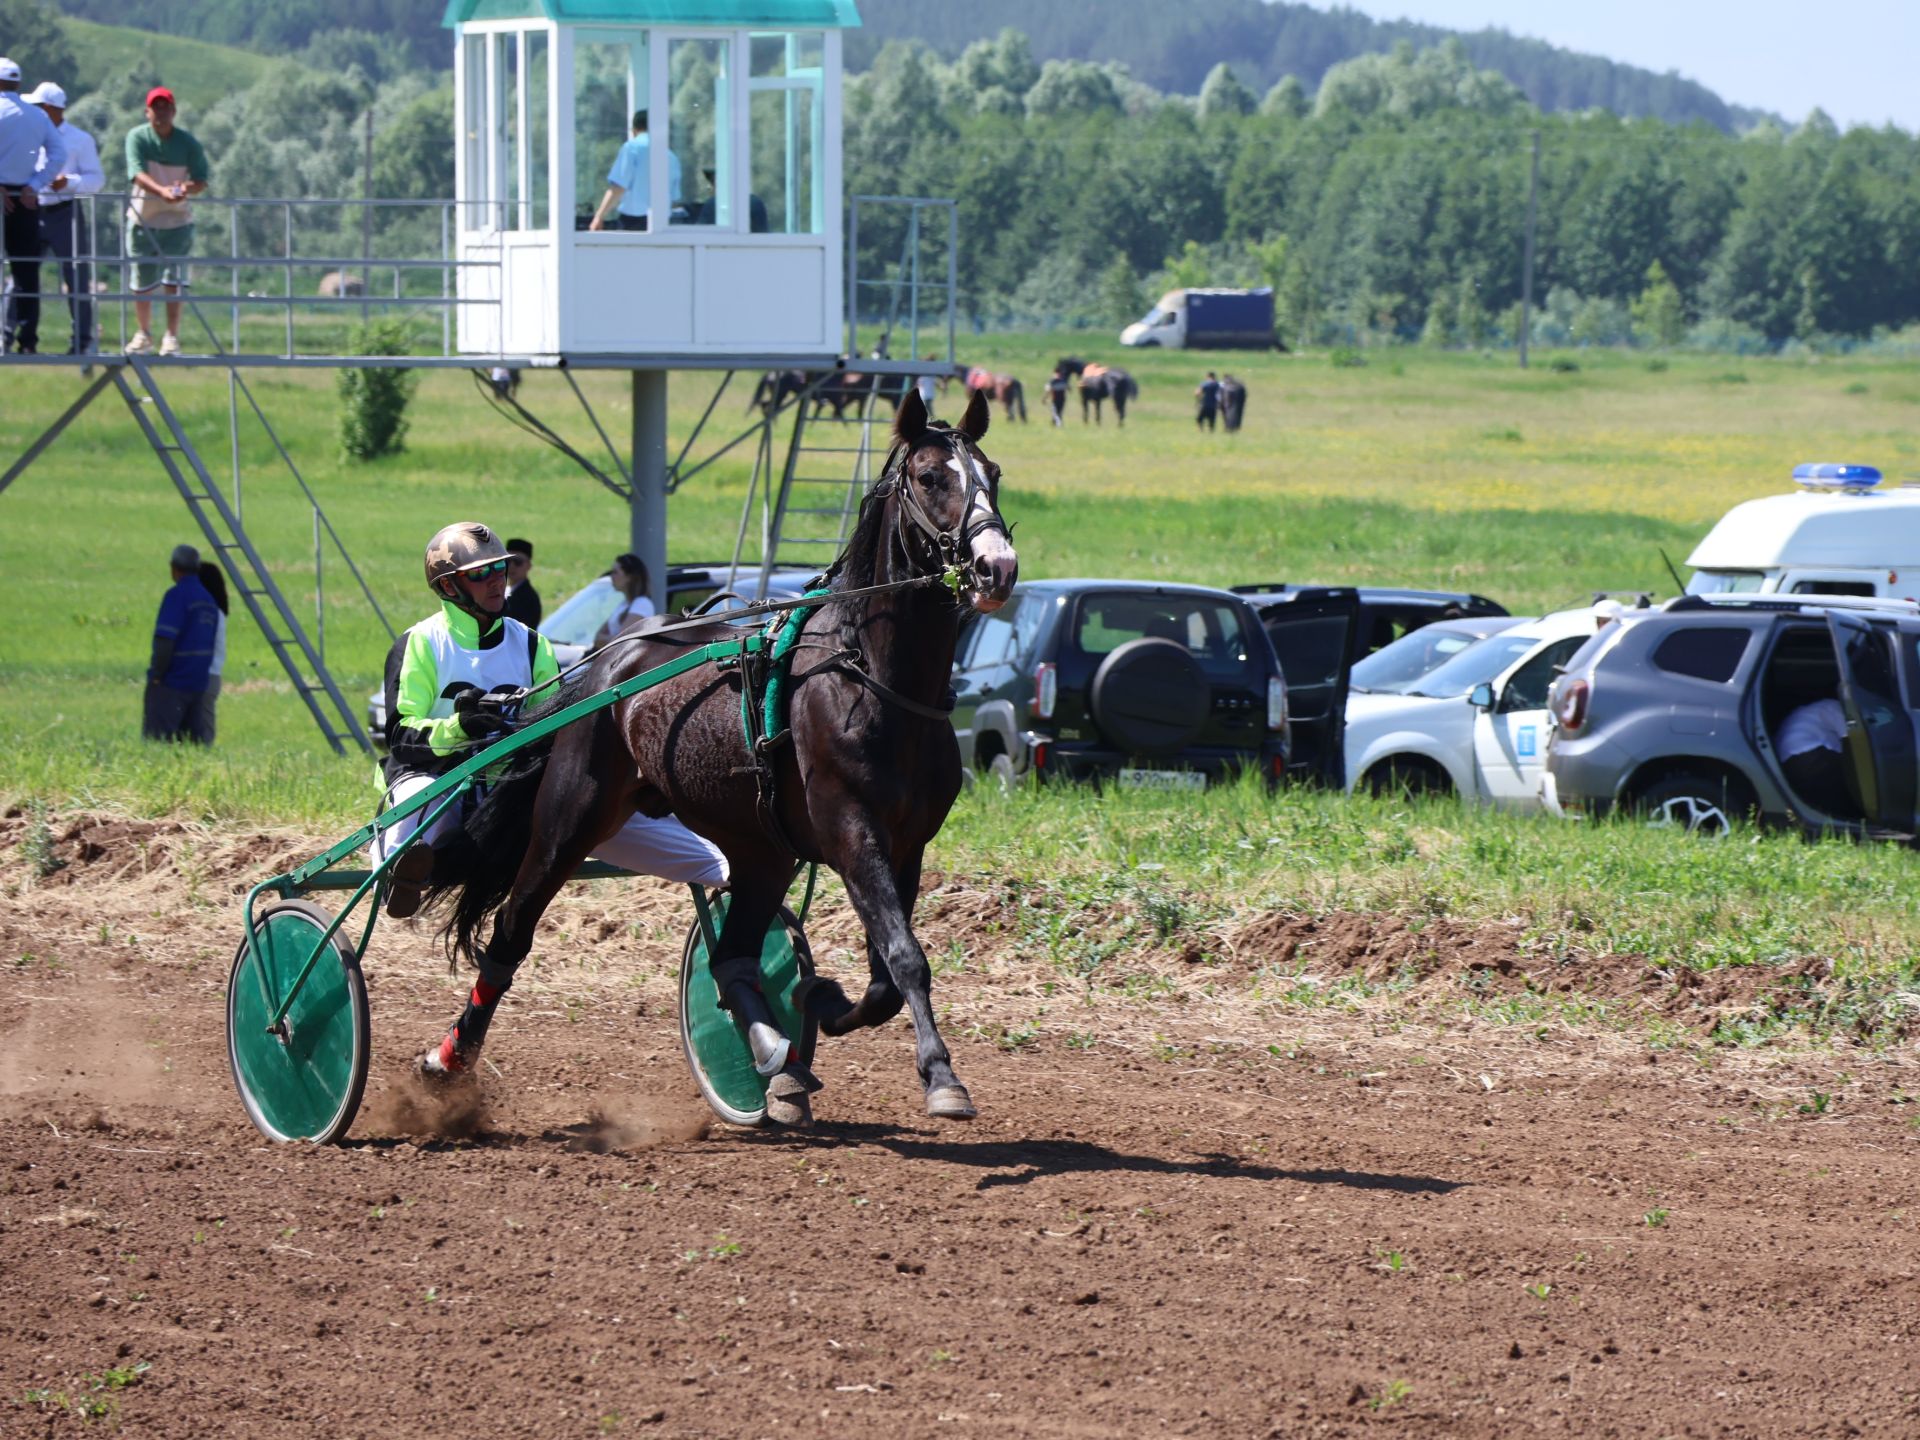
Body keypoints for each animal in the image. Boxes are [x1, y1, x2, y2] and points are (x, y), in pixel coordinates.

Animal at [422, 391, 1021, 1128]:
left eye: (992, 473)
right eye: (933, 477)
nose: (997, 566)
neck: (873, 677)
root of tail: (608, 664)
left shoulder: (907, 843)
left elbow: (885, 975)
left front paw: (820, 1001)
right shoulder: (852, 831)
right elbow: (906, 958)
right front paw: (941, 1076)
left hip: (761, 846)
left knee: (732, 955)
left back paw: (774, 1061)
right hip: (569, 818)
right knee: (510, 933)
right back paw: (449, 1061)